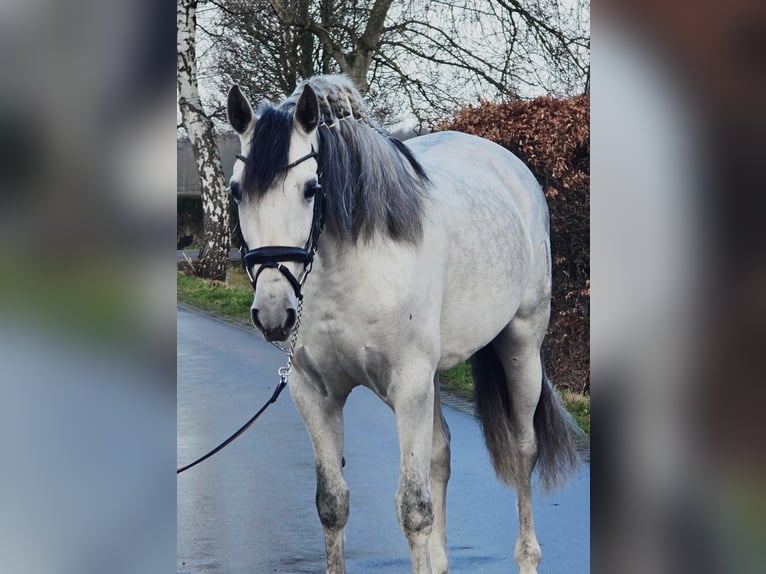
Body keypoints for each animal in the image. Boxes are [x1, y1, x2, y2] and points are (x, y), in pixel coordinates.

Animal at [225, 74, 580, 574]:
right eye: (237, 191)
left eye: (311, 188)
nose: (274, 312)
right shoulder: (313, 393)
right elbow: (332, 505)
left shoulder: (408, 385)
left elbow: (414, 510)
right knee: (441, 452)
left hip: (521, 347)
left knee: (523, 449)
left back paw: (527, 556)